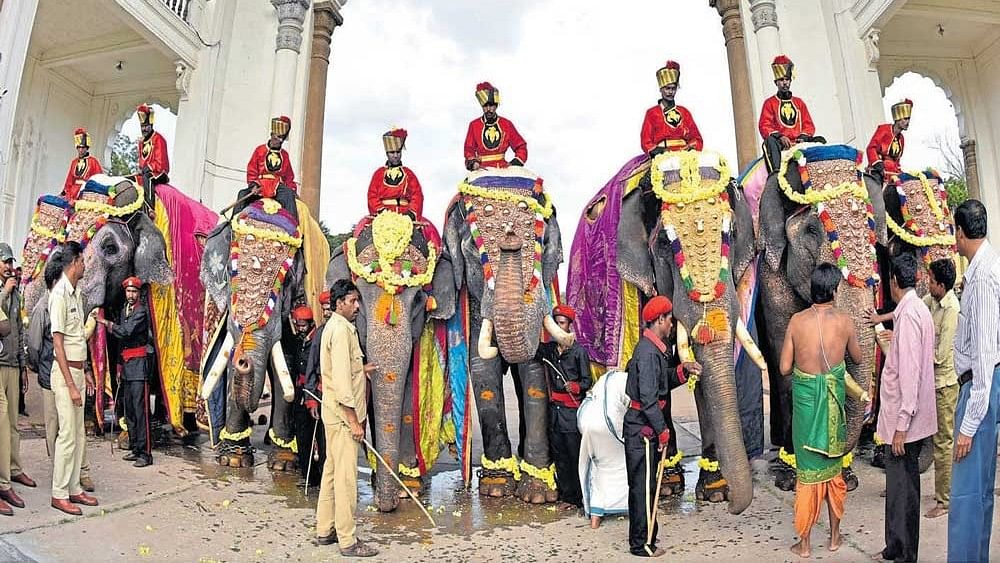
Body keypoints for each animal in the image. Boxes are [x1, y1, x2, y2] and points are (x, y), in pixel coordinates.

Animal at [444, 165, 576, 504]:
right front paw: (496, 487)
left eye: (543, 239)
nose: (510, 239)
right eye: (472, 250)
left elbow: (534, 374)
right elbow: (483, 371)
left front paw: (538, 494)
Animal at [612, 150, 760, 516]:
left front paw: (716, 491)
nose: (733, 508)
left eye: (731, 234)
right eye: (666, 243)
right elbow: (655, 377)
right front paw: (666, 485)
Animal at [752, 143, 888, 492]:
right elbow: (785, 358)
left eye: (870, 229)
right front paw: (790, 478)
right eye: (813, 229)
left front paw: (846, 478)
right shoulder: (773, 274)